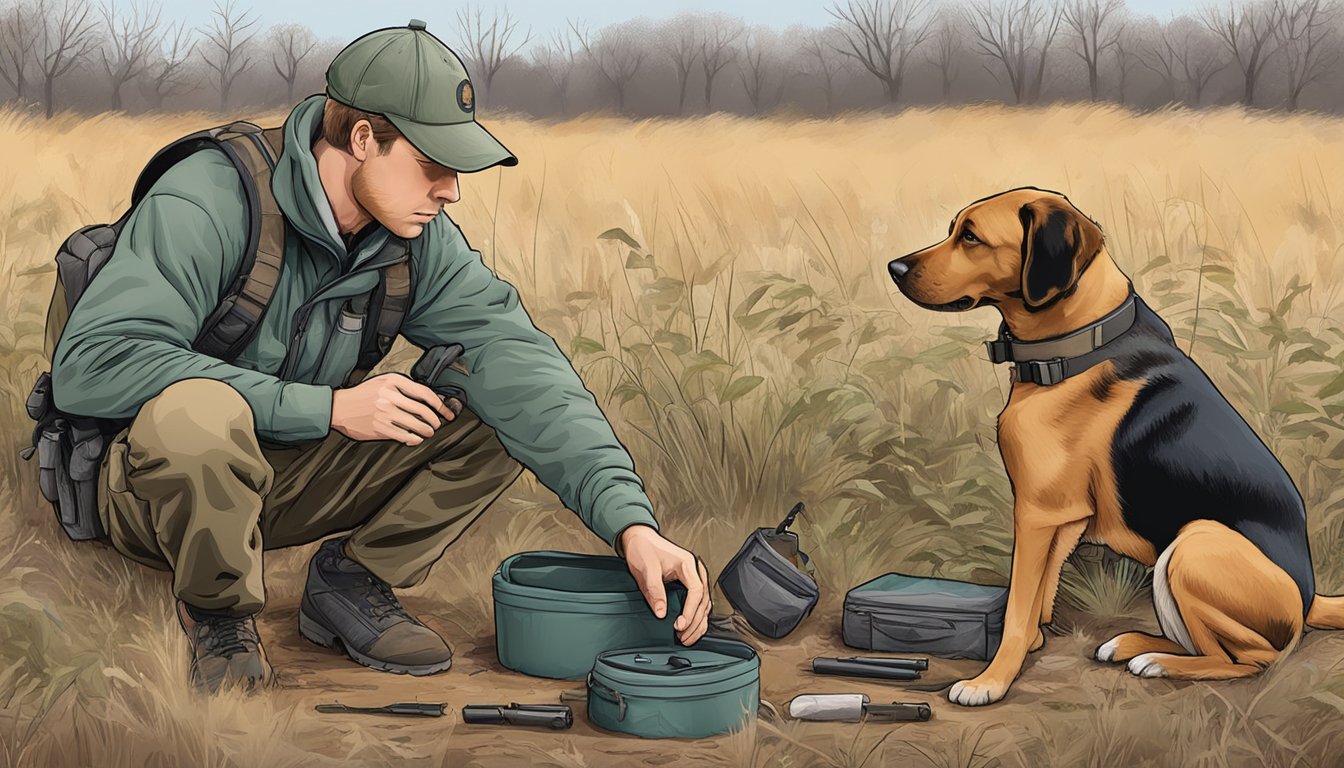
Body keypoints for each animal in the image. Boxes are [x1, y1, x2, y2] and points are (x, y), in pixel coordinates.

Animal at [887, 186, 1338, 710]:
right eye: (955, 229)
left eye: (972, 237)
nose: (894, 267)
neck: (1075, 344)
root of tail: (1308, 597)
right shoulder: (1062, 517)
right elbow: (1039, 596)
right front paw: (1032, 644)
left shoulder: (1037, 513)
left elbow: (1018, 609)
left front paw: (991, 681)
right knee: (1206, 644)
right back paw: (1133, 644)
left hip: (1194, 545)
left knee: (1248, 659)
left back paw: (1157, 661)